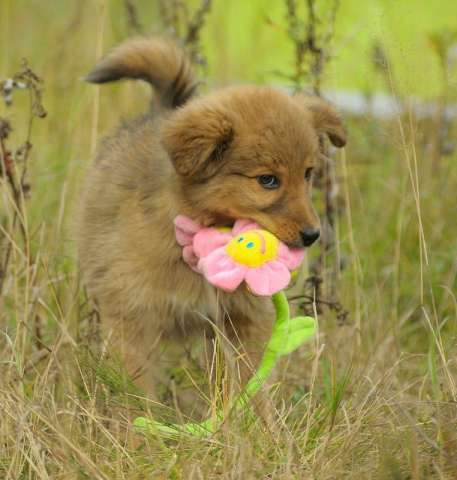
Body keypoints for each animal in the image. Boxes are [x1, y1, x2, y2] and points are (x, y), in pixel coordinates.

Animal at [77, 38, 346, 398]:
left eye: (307, 174)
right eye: (267, 180)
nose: (312, 235)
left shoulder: (242, 322)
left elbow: (253, 387)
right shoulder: (132, 320)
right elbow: (138, 390)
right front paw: (141, 416)